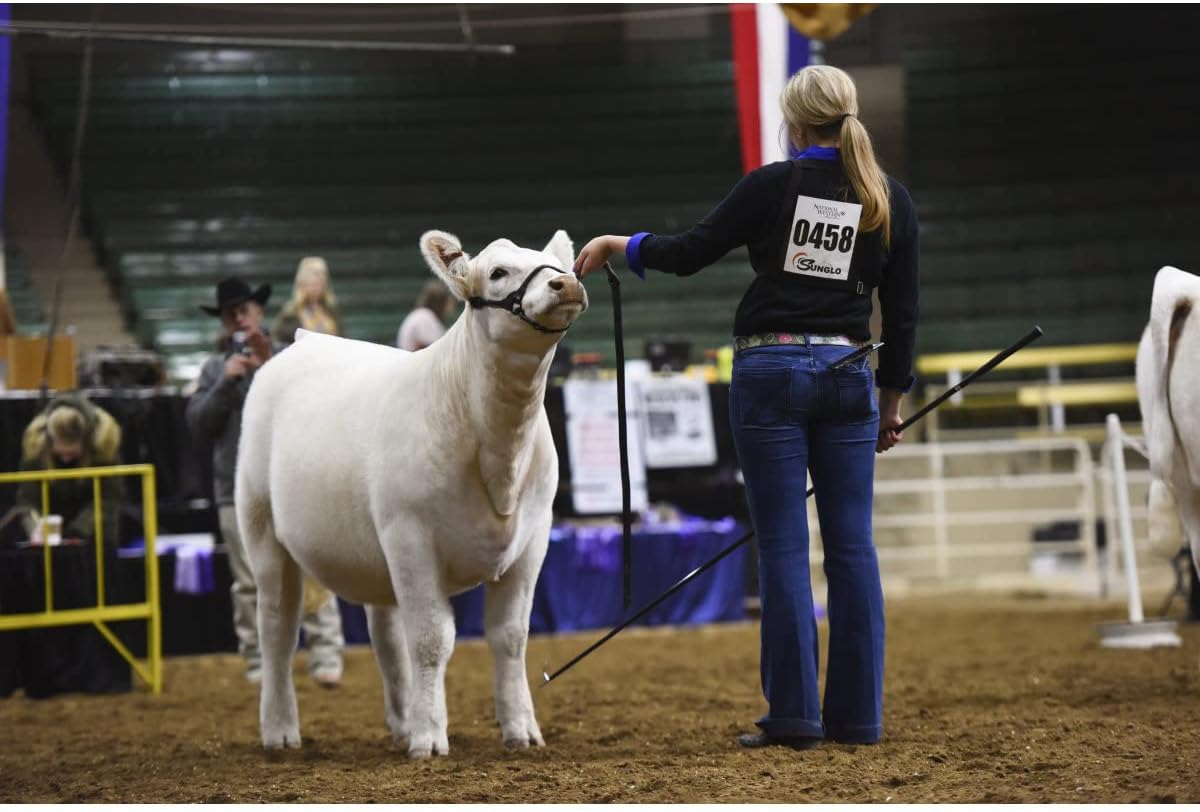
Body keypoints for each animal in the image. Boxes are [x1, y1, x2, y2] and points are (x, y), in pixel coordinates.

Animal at [234, 230, 587, 758]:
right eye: (498, 272)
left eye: (556, 265)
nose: (566, 284)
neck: (499, 454)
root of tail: (305, 340)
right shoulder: (411, 536)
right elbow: (431, 639)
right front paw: (429, 738)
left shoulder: (533, 539)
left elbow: (510, 636)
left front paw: (520, 730)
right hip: (262, 528)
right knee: (277, 627)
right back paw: (279, 730)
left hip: (372, 551)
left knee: (384, 635)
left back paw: (401, 721)